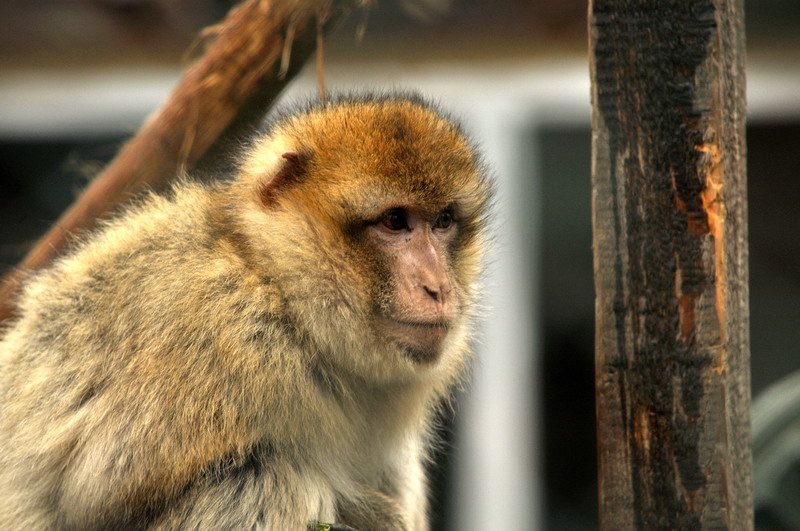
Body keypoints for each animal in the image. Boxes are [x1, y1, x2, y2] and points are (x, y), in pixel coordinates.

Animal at [0, 93, 491, 530]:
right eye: (395, 222)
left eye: (443, 221)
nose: (438, 287)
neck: (275, 285)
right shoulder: (221, 331)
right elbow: (94, 497)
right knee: (265, 482)